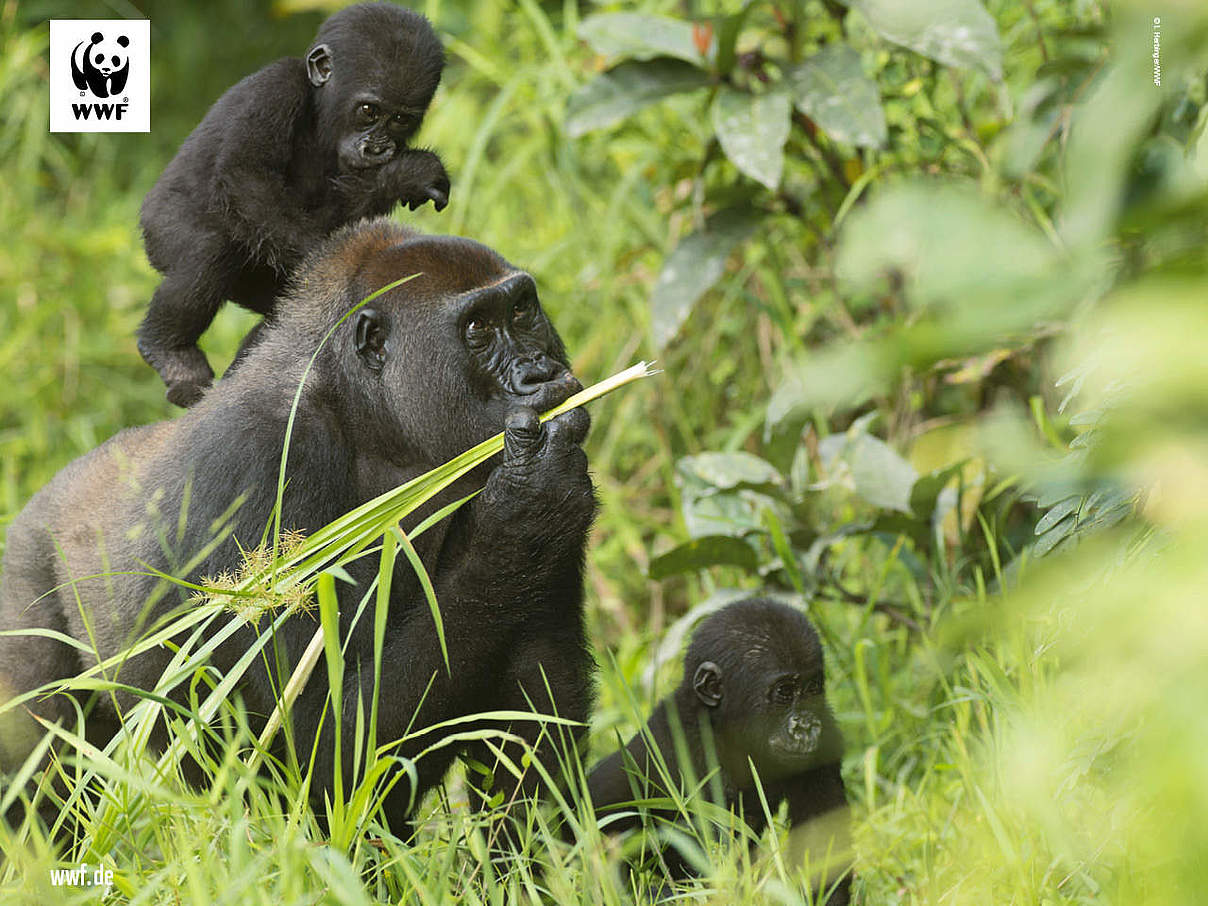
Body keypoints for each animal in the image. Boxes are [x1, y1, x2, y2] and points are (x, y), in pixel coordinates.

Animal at [0, 219, 594, 845]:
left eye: (522, 310)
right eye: (477, 329)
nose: (540, 372)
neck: (372, 418)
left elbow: (531, 720)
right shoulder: (260, 465)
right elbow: (319, 744)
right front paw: (527, 507)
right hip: (27, 577)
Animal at [137, 3, 449, 408]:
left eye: (399, 119)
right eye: (368, 110)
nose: (378, 147)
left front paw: (404, 175)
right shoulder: (275, 89)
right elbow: (246, 175)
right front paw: (328, 261)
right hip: (162, 231)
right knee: (208, 249)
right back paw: (171, 351)